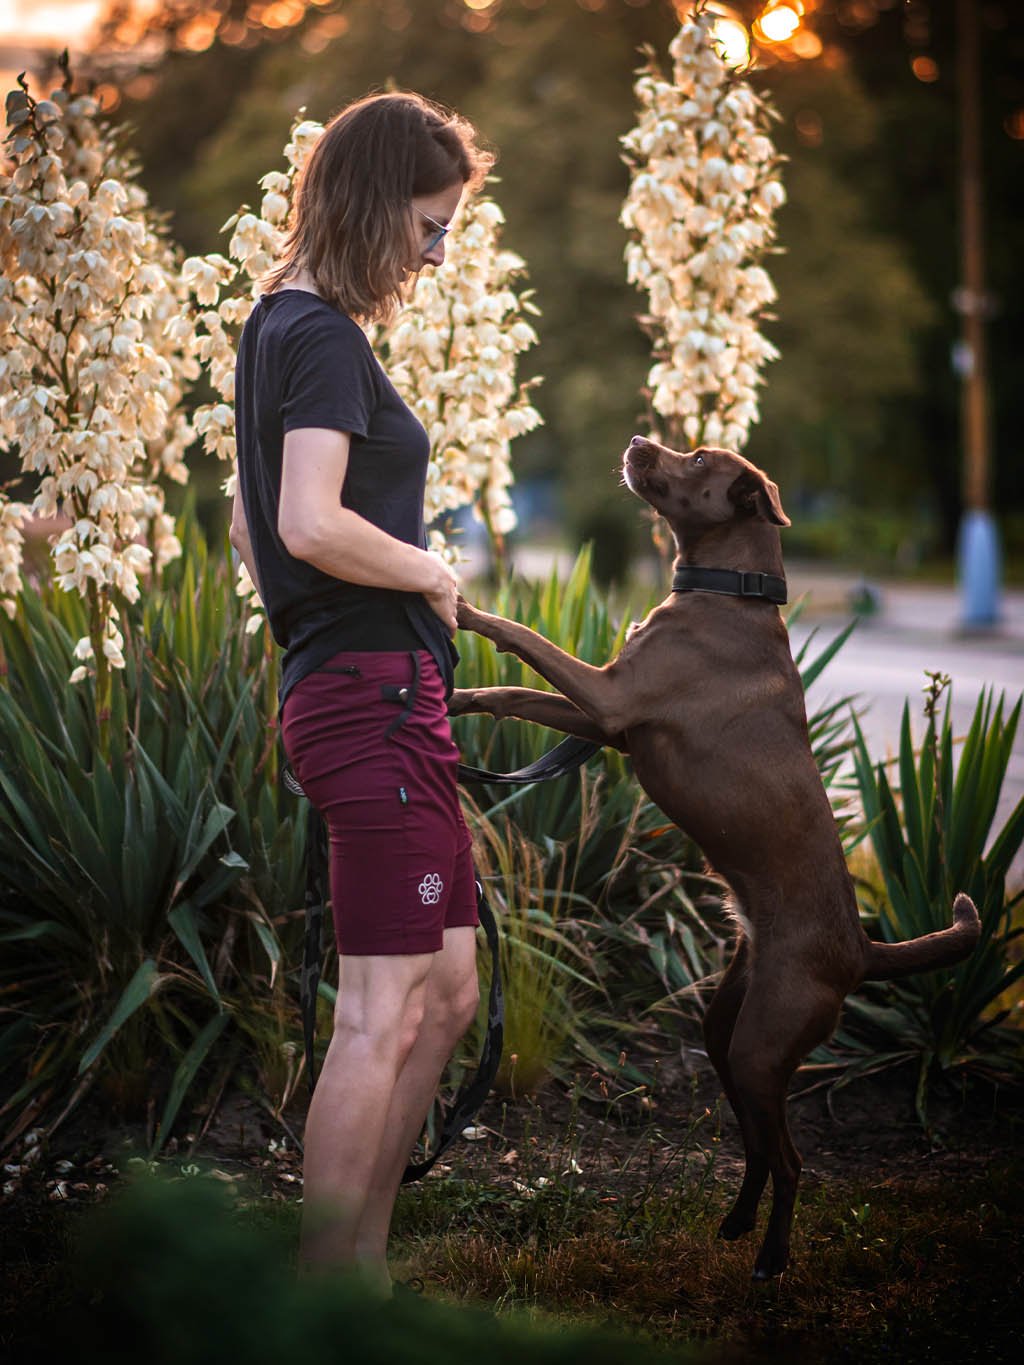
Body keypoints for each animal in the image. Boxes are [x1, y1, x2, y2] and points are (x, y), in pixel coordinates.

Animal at [453, 436, 983, 1277]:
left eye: (697, 456)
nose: (638, 442)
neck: (731, 593)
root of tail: (862, 950)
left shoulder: (608, 700)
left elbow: (519, 633)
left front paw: (463, 608)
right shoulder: (606, 719)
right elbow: (514, 690)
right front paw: (457, 699)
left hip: (765, 1048)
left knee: (793, 1159)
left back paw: (771, 1258)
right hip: (724, 1035)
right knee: (760, 1146)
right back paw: (735, 1225)